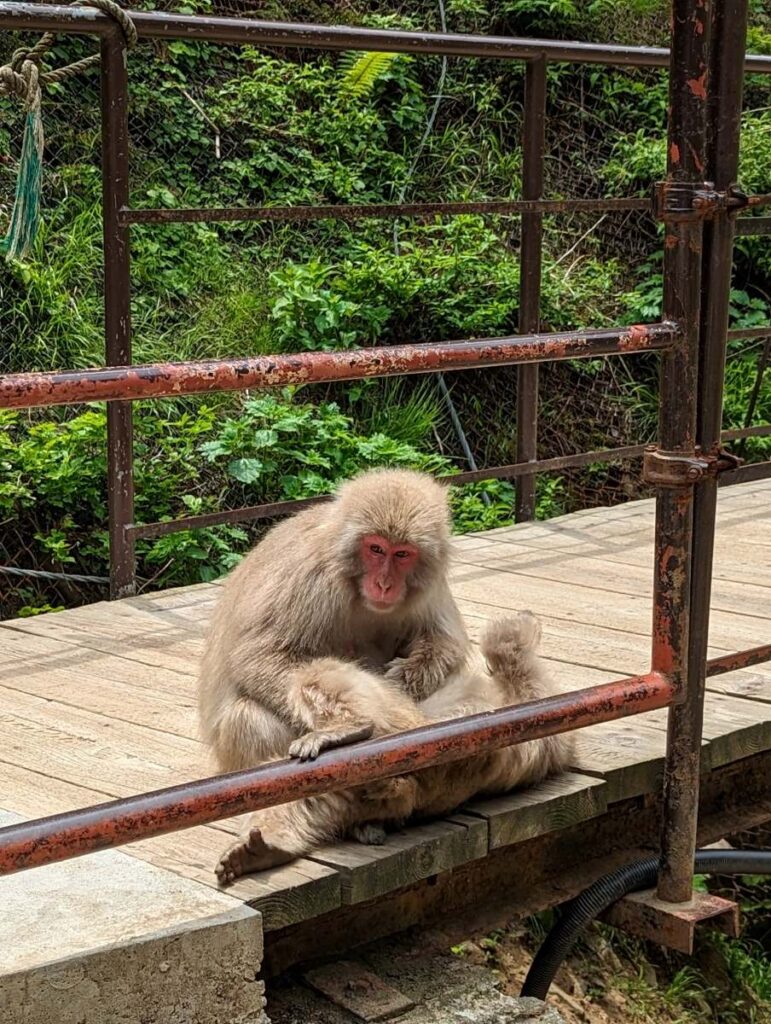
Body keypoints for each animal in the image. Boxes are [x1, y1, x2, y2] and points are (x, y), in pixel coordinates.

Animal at [215, 611, 573, 884]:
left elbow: (510, 657)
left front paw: (513, 634)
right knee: (306, 797)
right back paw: (263, 852)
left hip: (401, 726)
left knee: (323, 673)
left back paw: (352, 727)